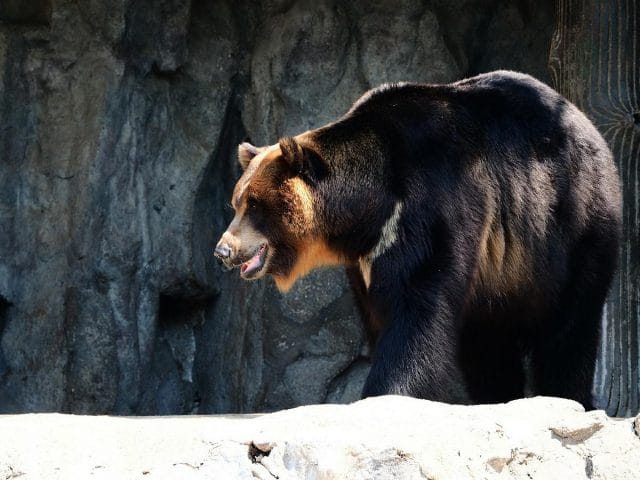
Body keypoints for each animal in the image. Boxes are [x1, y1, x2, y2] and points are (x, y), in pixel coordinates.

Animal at [214, 70, 621, 410]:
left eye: (255, 204)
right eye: (237, 201)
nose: (223, 250)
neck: (369, 209)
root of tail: (591, 128)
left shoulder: (432, 204)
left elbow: (416, 308)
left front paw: (388, 393)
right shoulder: (367, 257)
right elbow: (380, 313)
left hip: (573, 227)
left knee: (569, 327)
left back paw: (567, 396)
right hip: (502, 275)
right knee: (488, 343)